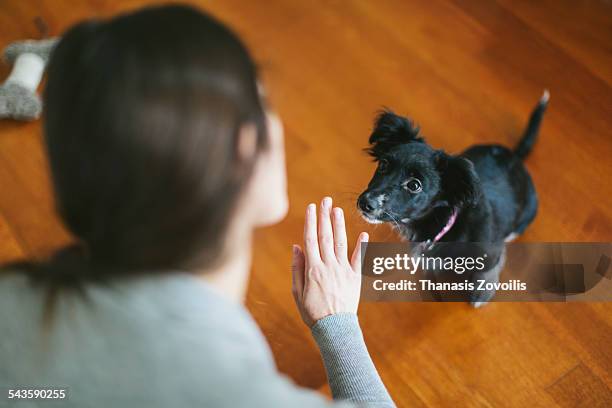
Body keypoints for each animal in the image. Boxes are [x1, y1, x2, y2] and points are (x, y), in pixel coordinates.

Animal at [356, 91, 548, 304]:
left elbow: (490, 268)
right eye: (383, 165)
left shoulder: (491, 250)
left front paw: (482, 291)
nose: (365, 203)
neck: (443, 226)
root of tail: (515, 156)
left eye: (414, 185)